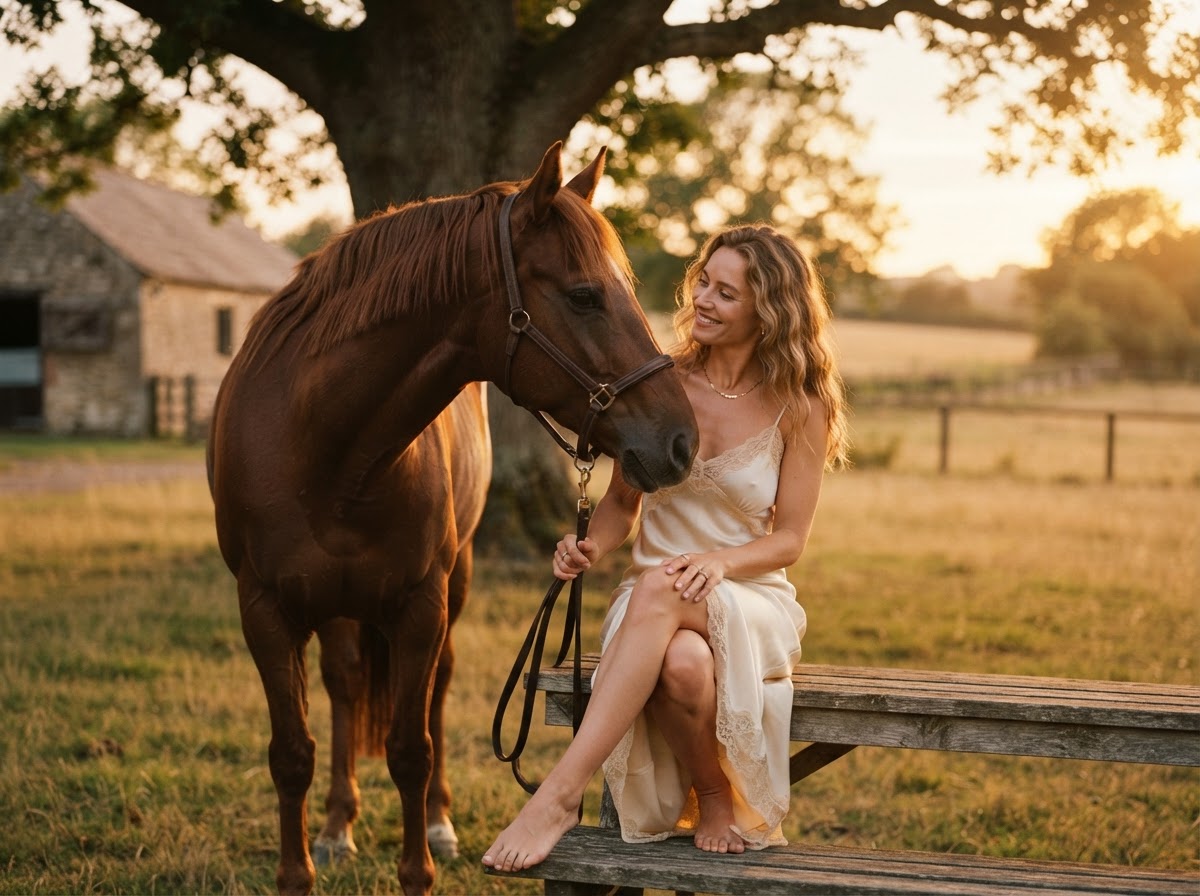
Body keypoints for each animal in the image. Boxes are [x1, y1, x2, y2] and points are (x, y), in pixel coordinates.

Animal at [206, 142, 699, 896]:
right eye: (584, 295)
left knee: (435, 687)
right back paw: (337, 826)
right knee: (345, 683)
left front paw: (422, 858)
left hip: (454, 583)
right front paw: (301, 867)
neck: (322, 450)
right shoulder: (262, 609)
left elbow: (412, 748)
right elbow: (291, 753)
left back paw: (437, 820)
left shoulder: (421, 606)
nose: (682, 441)